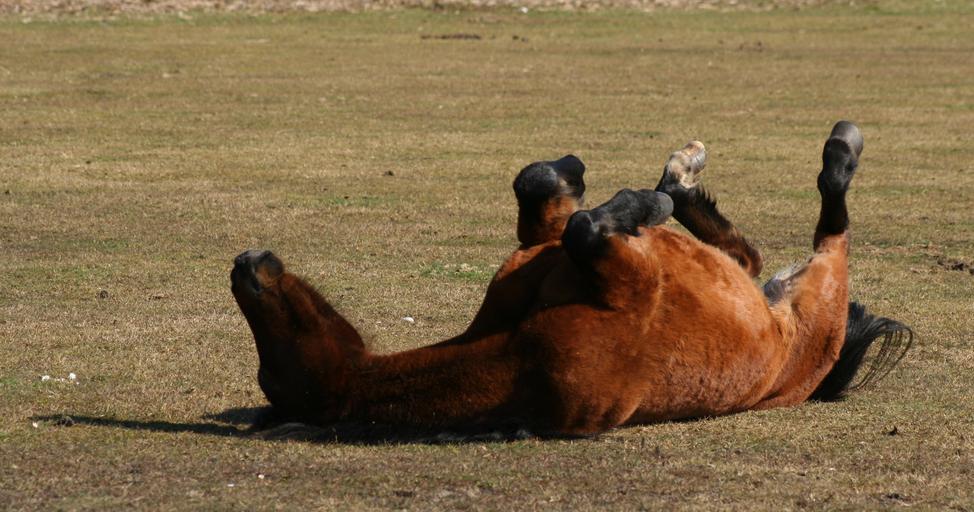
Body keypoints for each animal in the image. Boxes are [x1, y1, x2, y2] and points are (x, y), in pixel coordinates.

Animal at [230, 121, 912, 438]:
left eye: (273, 349)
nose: (245, 266)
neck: (520, 352)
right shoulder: (621, 275)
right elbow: (582, 225)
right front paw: (638, 201)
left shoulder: (537, 249)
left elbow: (543, 194)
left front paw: (589, 179)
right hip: (822, 294)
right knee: (821, 222)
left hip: (785, 287)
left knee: (754, 247)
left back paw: (681, 179)